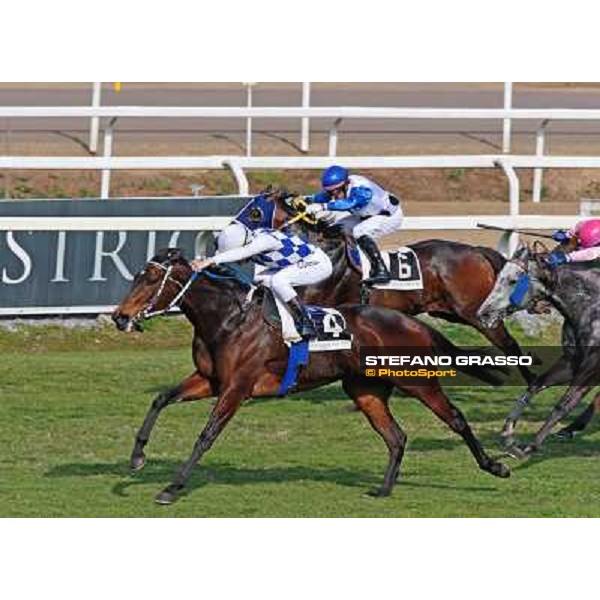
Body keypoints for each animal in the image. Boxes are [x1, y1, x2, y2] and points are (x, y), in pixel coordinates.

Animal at [111, 248, 506, 506]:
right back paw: (383, 489)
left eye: (151, 279)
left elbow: (206, 435)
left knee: (455, 418)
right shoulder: (209, 380)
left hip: (416, 380)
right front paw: (137, 457)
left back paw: (495, 466)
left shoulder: (236, 388)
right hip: (364, 390)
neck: (228, 319)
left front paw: (172, 488)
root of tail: (413, 323)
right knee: (396, 437)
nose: (119, 317)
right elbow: (161, 398)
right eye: (135, 277)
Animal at [478, 246, 600, 458]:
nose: (483, 314)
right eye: (498, 277)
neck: (592, 309)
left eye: (513, 281)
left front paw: (530, 446)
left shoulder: (590, 370)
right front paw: (509, 438)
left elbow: (564, 404)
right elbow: (536, 384)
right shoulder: (571, 363)